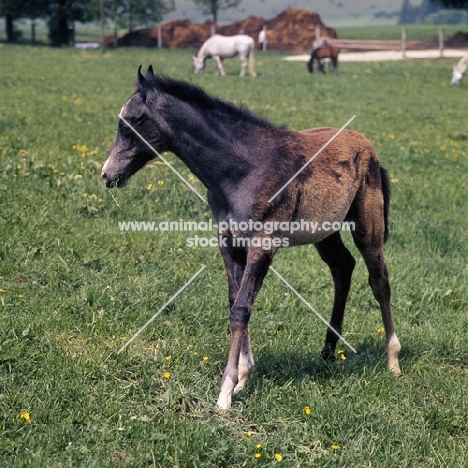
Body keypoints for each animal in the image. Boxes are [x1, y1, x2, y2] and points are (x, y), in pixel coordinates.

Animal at [102, 66, 402, 410]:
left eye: (133, 120)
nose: (107, 174)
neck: (242, 169)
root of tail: (367, 145)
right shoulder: (229, 241)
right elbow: (235, 301)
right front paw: (243, 377)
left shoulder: (263, 243)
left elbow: (242, 308)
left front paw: (225, 391)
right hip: (325, 232)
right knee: (342, 268)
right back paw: (327, 353)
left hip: (368, 225)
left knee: (379, 280)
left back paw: (393, 360)